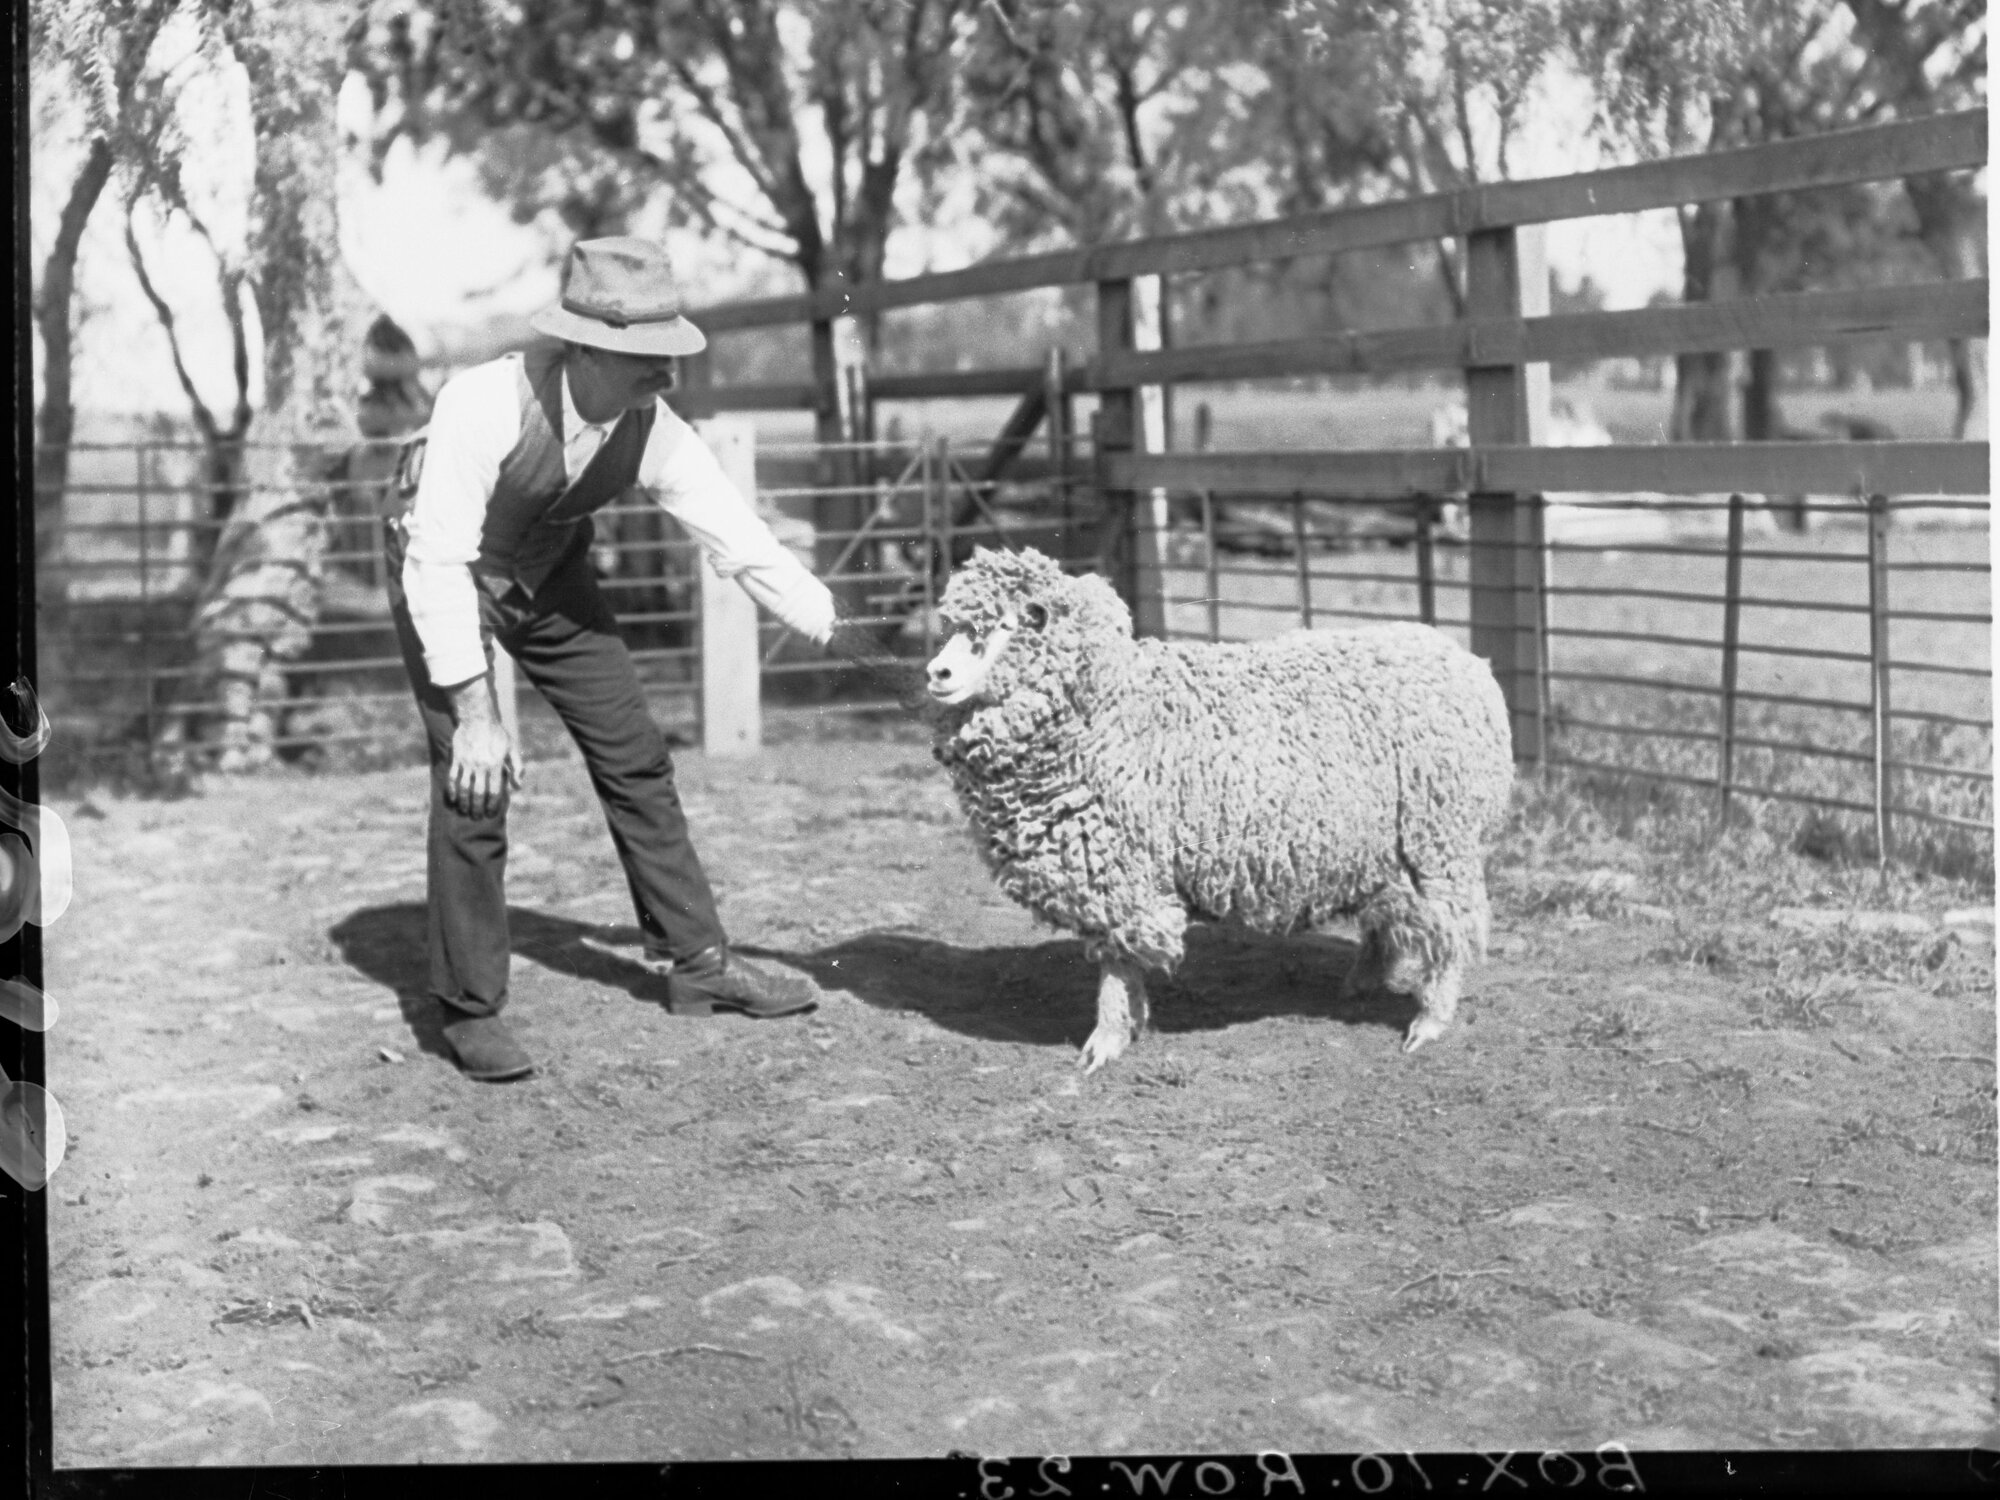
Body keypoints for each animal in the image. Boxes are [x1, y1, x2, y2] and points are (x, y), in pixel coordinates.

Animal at [923, 546, 1514, 1072]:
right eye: (954, 626)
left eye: (1004, 626)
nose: (936, 673)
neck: (1107, 703)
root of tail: (1463, 657)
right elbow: (1124, 958)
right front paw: (1133, 1023)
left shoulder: (1123, 871)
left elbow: (1117, 961)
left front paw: (1106, 1042)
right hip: (1376, 848)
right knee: (1390, 914)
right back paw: (1359, 984)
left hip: (1440, 842)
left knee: (1452, 928)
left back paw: (1429, 1022)